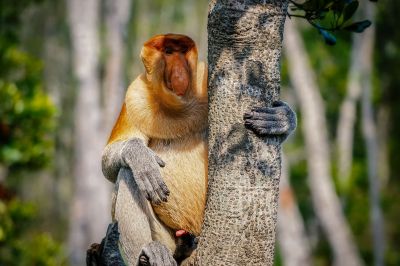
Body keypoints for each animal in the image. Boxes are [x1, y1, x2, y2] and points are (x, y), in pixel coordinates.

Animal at [97, 34, 296, 264]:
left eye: (182, 51)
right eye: (168, 52)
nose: (179, 73)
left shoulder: (206, 75)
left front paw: (281, 118)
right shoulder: (134, 97)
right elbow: (110, 161)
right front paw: (140, 158)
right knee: (128, 173)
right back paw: (150, 252)